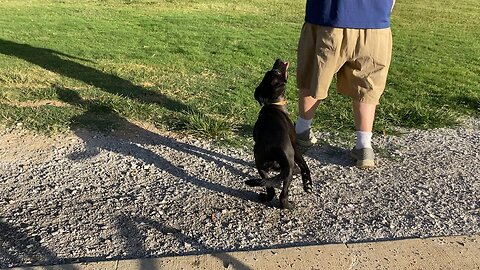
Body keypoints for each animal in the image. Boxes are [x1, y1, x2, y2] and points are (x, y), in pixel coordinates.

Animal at [246, 59, 314, 209]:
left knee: (270, 188)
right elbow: (304, 165)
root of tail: (273, 148)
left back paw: (264, 197)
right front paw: (307, 184)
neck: (273, 104)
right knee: (283, 195)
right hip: (288, 167)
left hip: (261, 166)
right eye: (276, 72)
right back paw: (289, 205)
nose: (278, 59)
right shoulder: (295, 145)